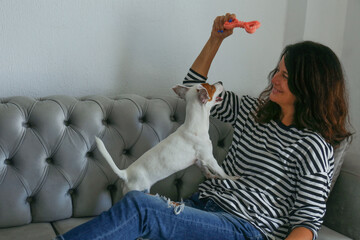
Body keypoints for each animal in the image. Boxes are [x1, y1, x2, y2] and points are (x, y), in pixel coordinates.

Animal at [95, 82, 239, 195]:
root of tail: (125, 174)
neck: (194, 125)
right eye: (212, 87)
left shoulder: (198, 160)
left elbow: (206, 170)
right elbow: (221, 170)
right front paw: (232, 178)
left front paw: (211, 176)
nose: (220, 82)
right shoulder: (208, 158)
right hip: (139, 189)